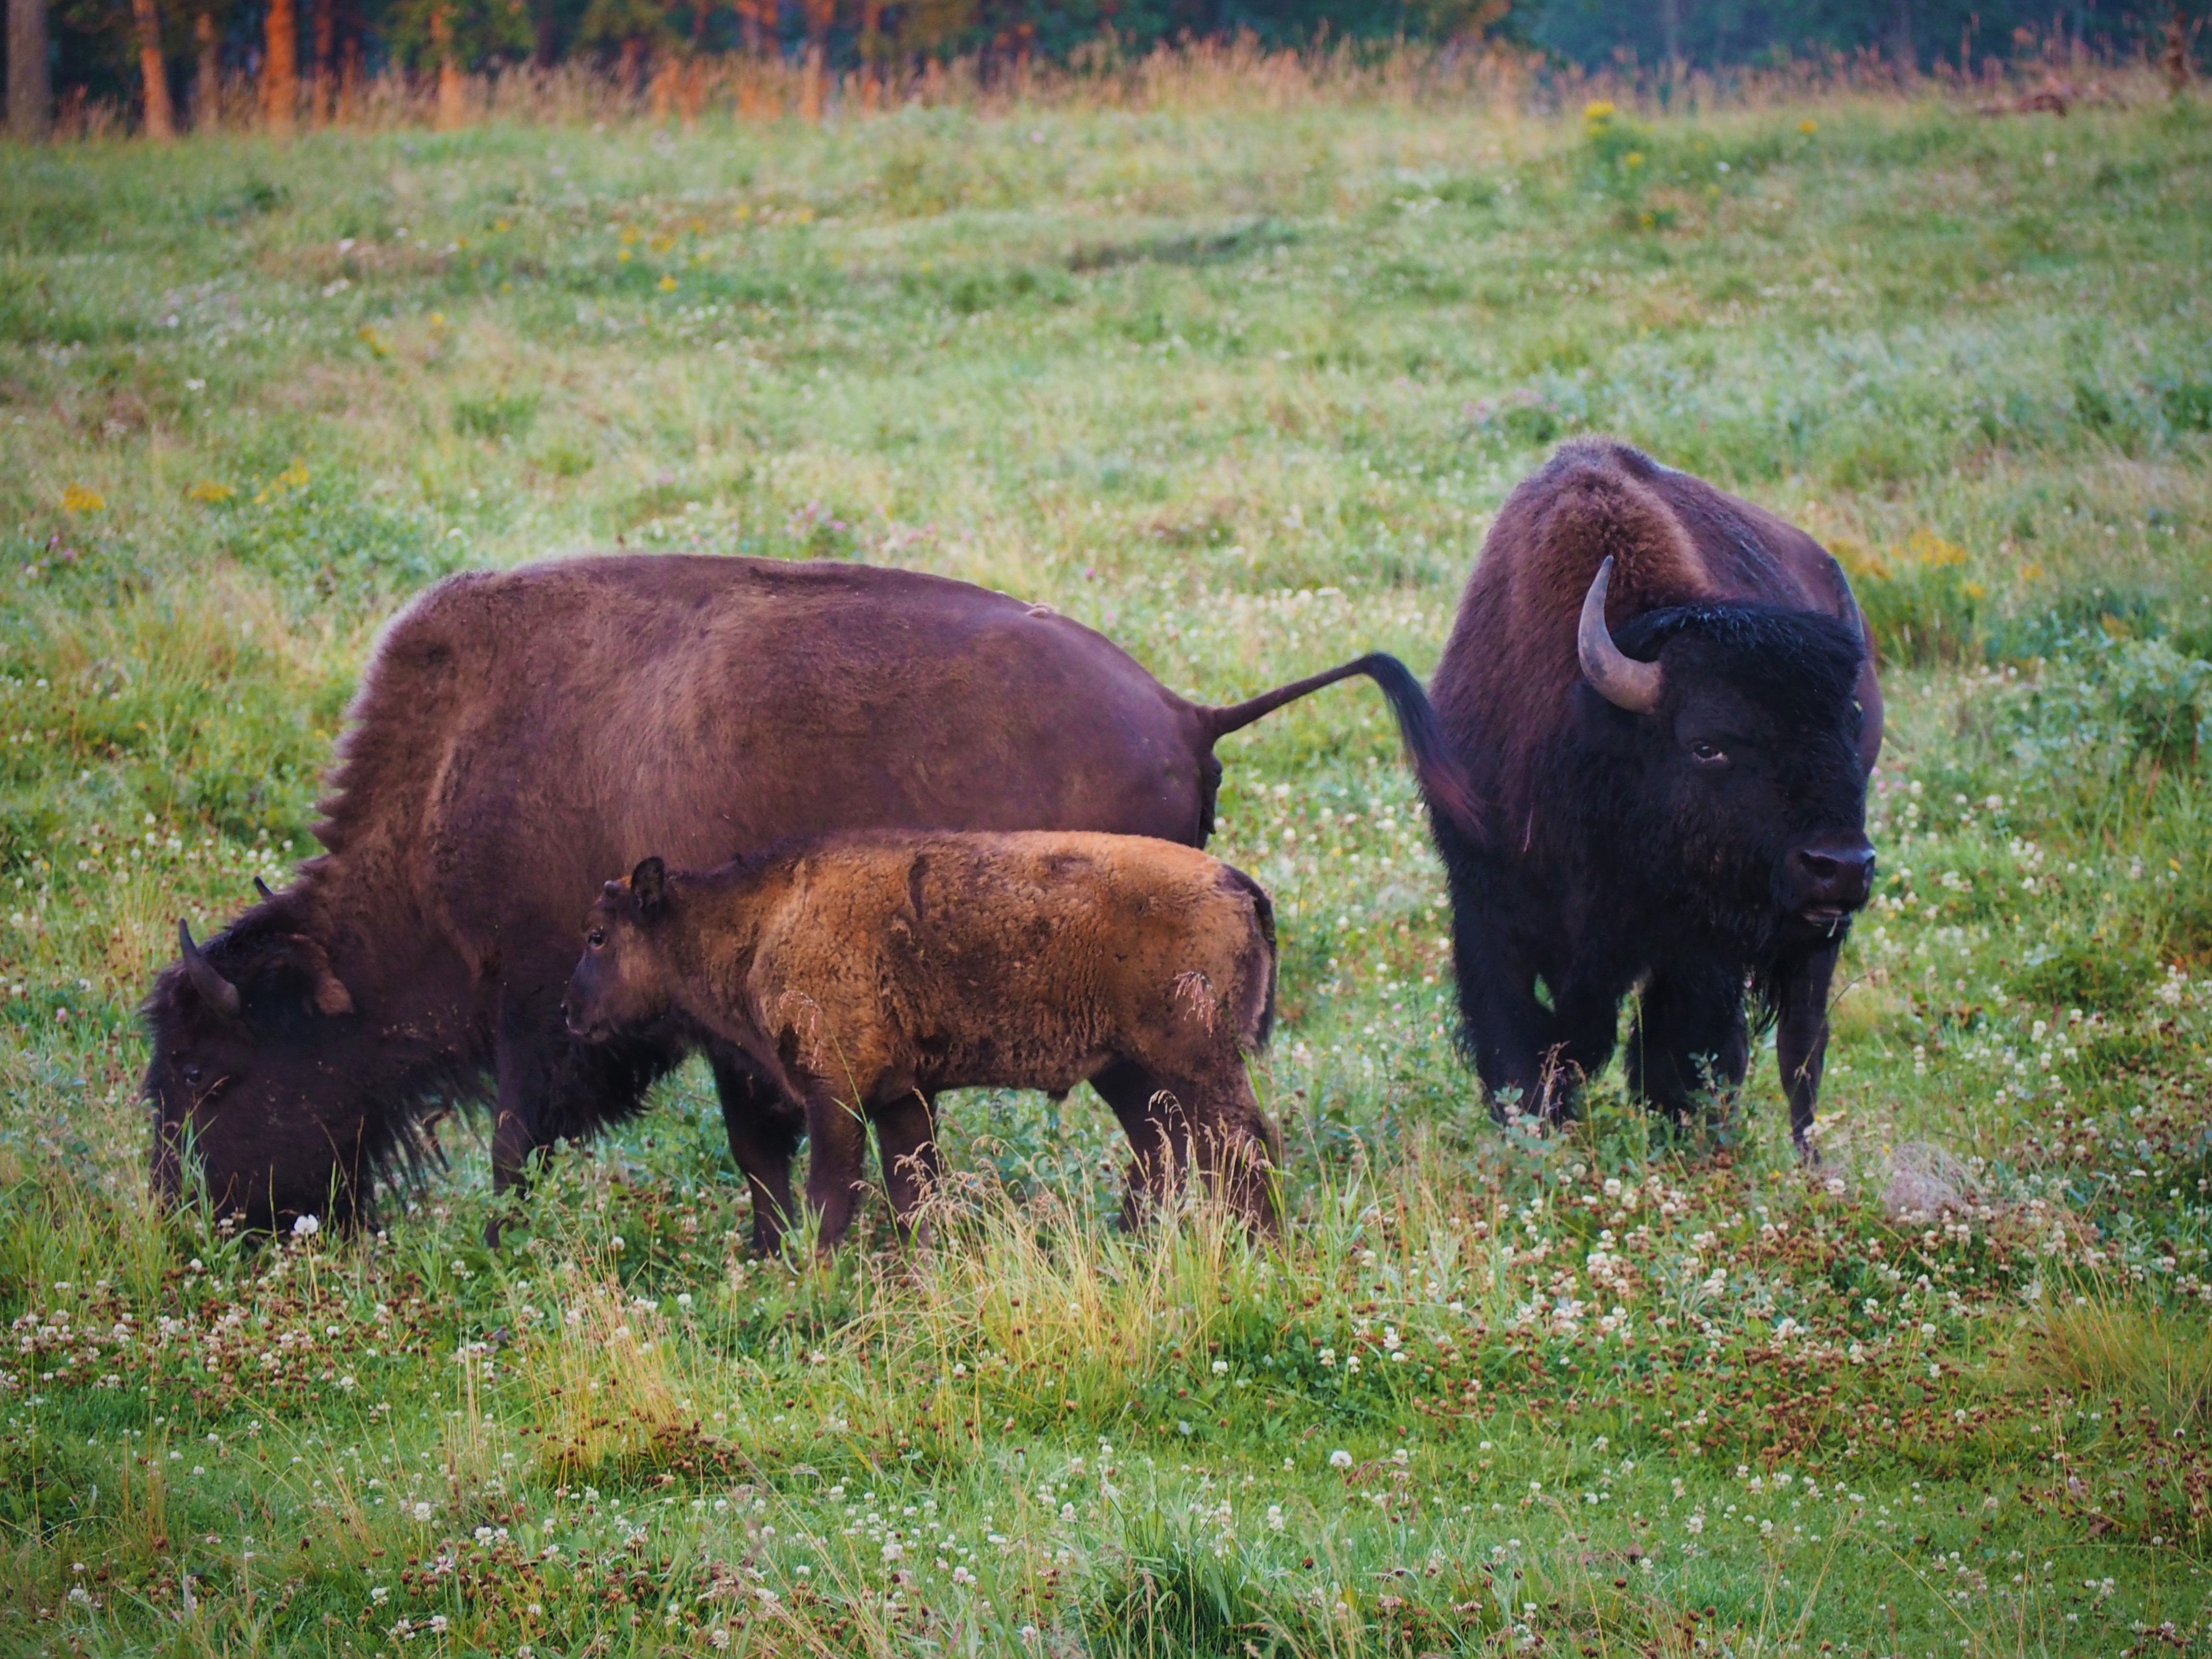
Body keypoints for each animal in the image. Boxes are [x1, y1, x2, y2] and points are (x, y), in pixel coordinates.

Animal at [564, 834, 1281, 1249]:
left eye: (599, 935)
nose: (570, 1012)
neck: (763, 920)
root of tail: (1237, 881)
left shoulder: (836, 1095)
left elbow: (832, 1199)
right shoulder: (900, 1099)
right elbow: (912, 1194)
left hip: (1194, 1061)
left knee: (1240, 1146)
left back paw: (1259, 1248)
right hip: (1133, 1070)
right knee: (1169, 1149)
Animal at [1377, 438, 1882, 1151]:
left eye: (1849, 726)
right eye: (1707, 745)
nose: (1840, 866)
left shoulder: (1697, 947)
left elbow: (1676, 1055)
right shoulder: (1486, 909)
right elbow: (1520, 1053)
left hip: (1814, 942)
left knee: (1800, 1052)